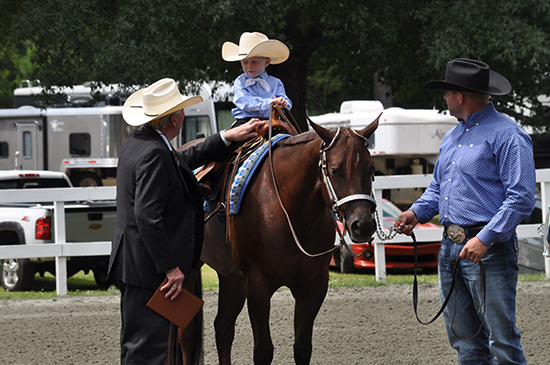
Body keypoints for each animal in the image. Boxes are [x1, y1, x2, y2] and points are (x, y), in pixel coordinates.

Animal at [175, 117, 382, 364]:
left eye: (371, 169)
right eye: (335, 170)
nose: (363, 225)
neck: (288, 209)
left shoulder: (313, 286)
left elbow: (302, 348)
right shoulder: (258, 286)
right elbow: (263, 350)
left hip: (232, 276)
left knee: (223, 328)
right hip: (189, 270)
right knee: (187, 333)